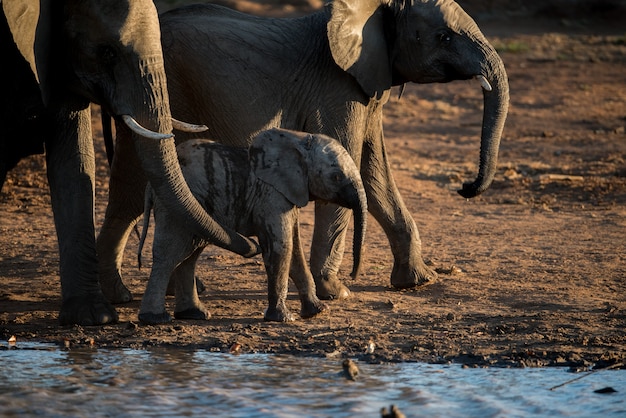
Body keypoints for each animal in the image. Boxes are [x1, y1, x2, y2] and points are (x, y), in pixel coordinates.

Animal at [98, 0, 508, 302]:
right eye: (444, 37)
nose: (466, 187)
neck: (375, 8)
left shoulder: (368, 88)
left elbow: (375, 176)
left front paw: (418, 281)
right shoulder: (337, 89)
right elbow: (348, 168)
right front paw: (337, 294)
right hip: (156, 93)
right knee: (133, 191)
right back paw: (124, 295)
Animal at [138, 127, 366, 324]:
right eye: (336, 176)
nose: (353, 275)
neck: (297, 139)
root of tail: (149, 186)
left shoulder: (287, 194)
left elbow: (294, 248)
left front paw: (318, 312)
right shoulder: (270, 195)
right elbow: (281, 246)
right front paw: (284, 319)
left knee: (190, 255)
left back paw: (194, 314)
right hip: (174, 209)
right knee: (170, 254)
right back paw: (156, 319)